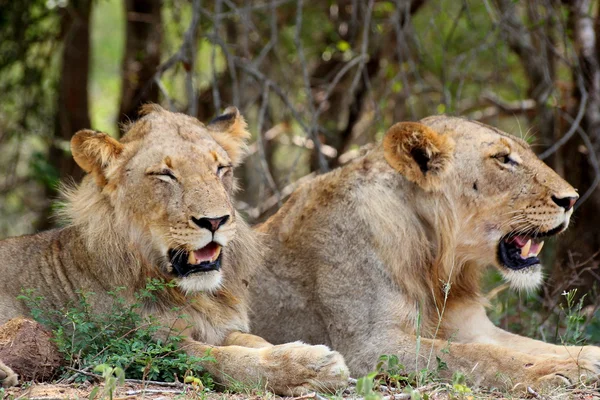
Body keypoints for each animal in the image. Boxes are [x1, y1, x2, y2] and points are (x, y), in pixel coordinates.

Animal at [0, 104, 346, 394]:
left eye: (221, 168)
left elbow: (253, 340)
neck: (190, 293)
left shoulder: (218, 326)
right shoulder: (145, 343)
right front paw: (306, 367)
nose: (215, 220)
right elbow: (222, 359)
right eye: (165, 174)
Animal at [248, 115, 600, 390]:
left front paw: (588, 357)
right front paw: (557, 372)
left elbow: (531, 345)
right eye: (503, 159)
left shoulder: (473, 326)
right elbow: (477, 356)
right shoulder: (370, 346)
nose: (571, 199)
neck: (438, 260)